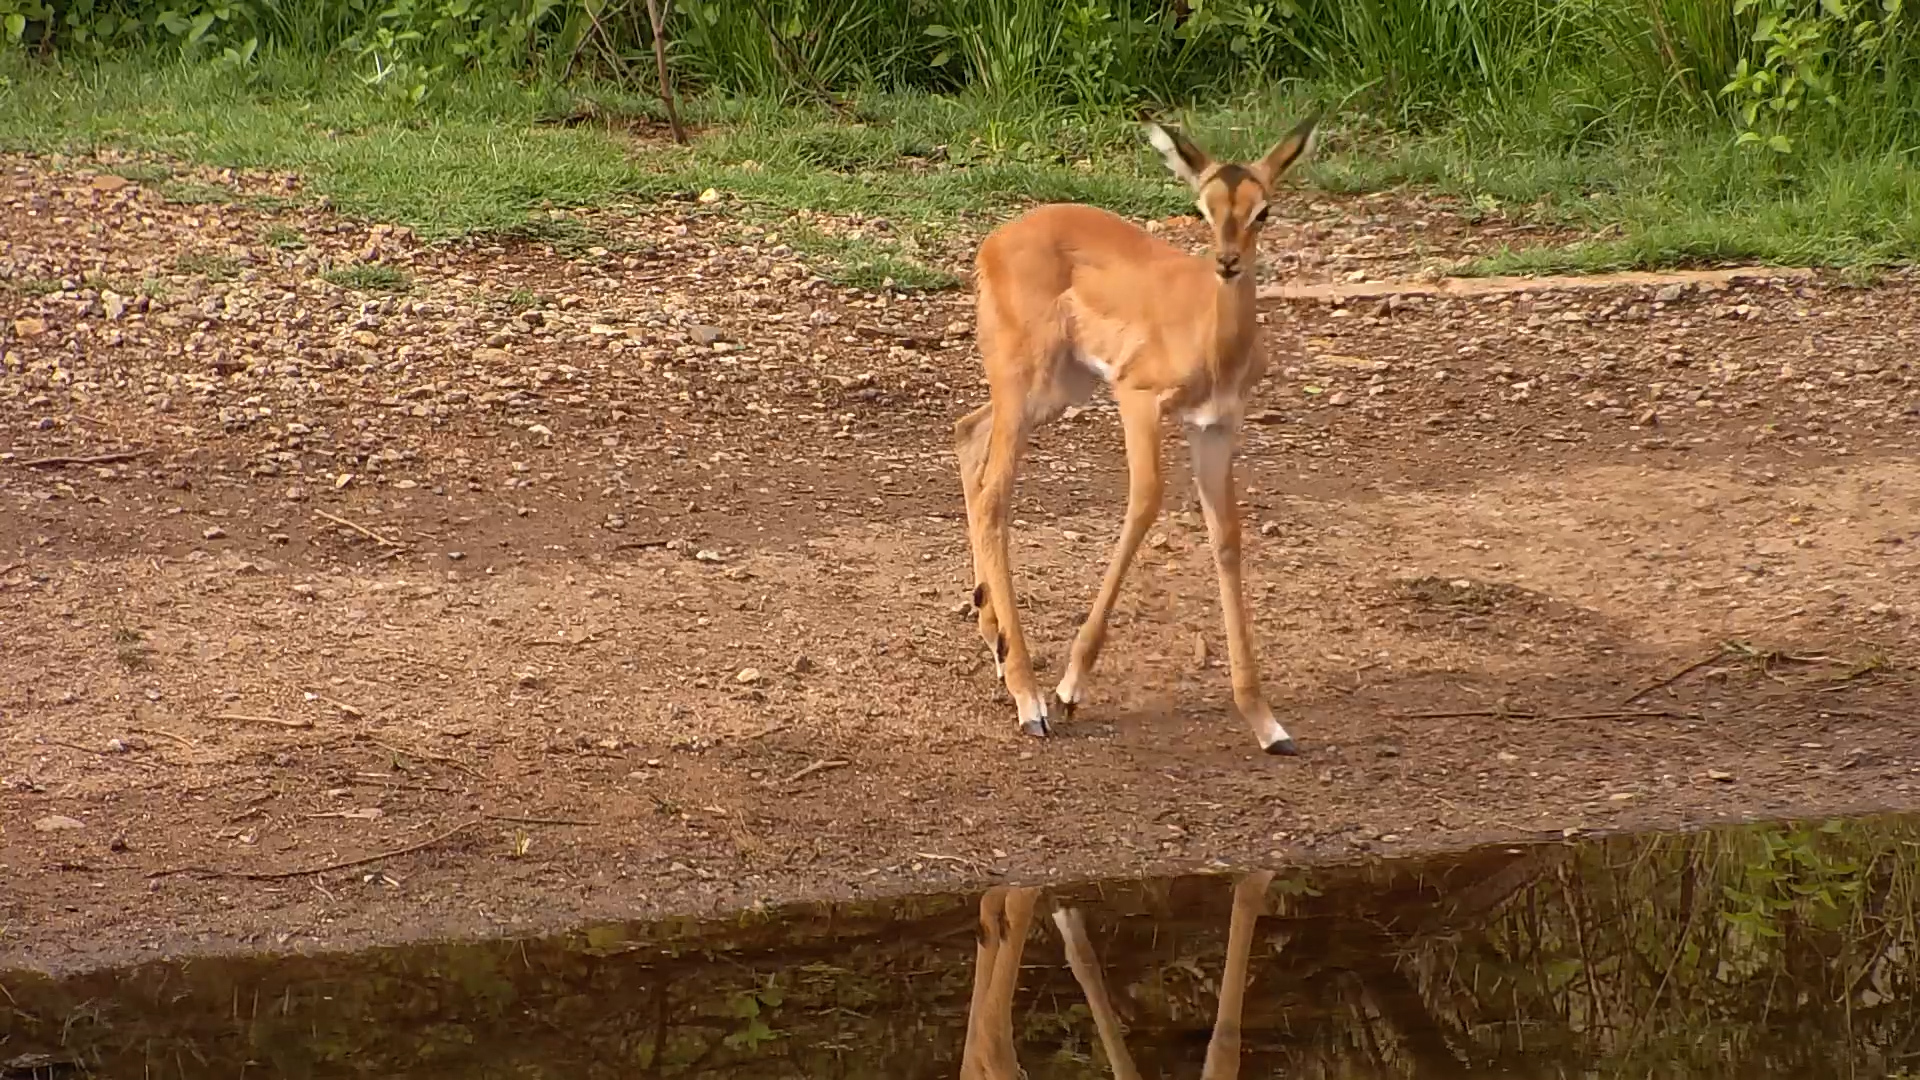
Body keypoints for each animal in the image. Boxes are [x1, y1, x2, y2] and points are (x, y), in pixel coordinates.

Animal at [955, 113, 1321, 754]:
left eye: (1263, 210)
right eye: (1202, 207)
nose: (1228, 262)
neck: (1211, 340)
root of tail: (993, 242)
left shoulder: (1216, 427)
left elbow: (1227, 537)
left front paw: (1266, 722)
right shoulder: (1138, 398)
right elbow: (1145, 504)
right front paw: (1071, 688)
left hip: (1054, 391)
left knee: (967, 438)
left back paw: (997, 645)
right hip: (1029, 385)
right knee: (995, 492)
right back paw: (1030, 700)